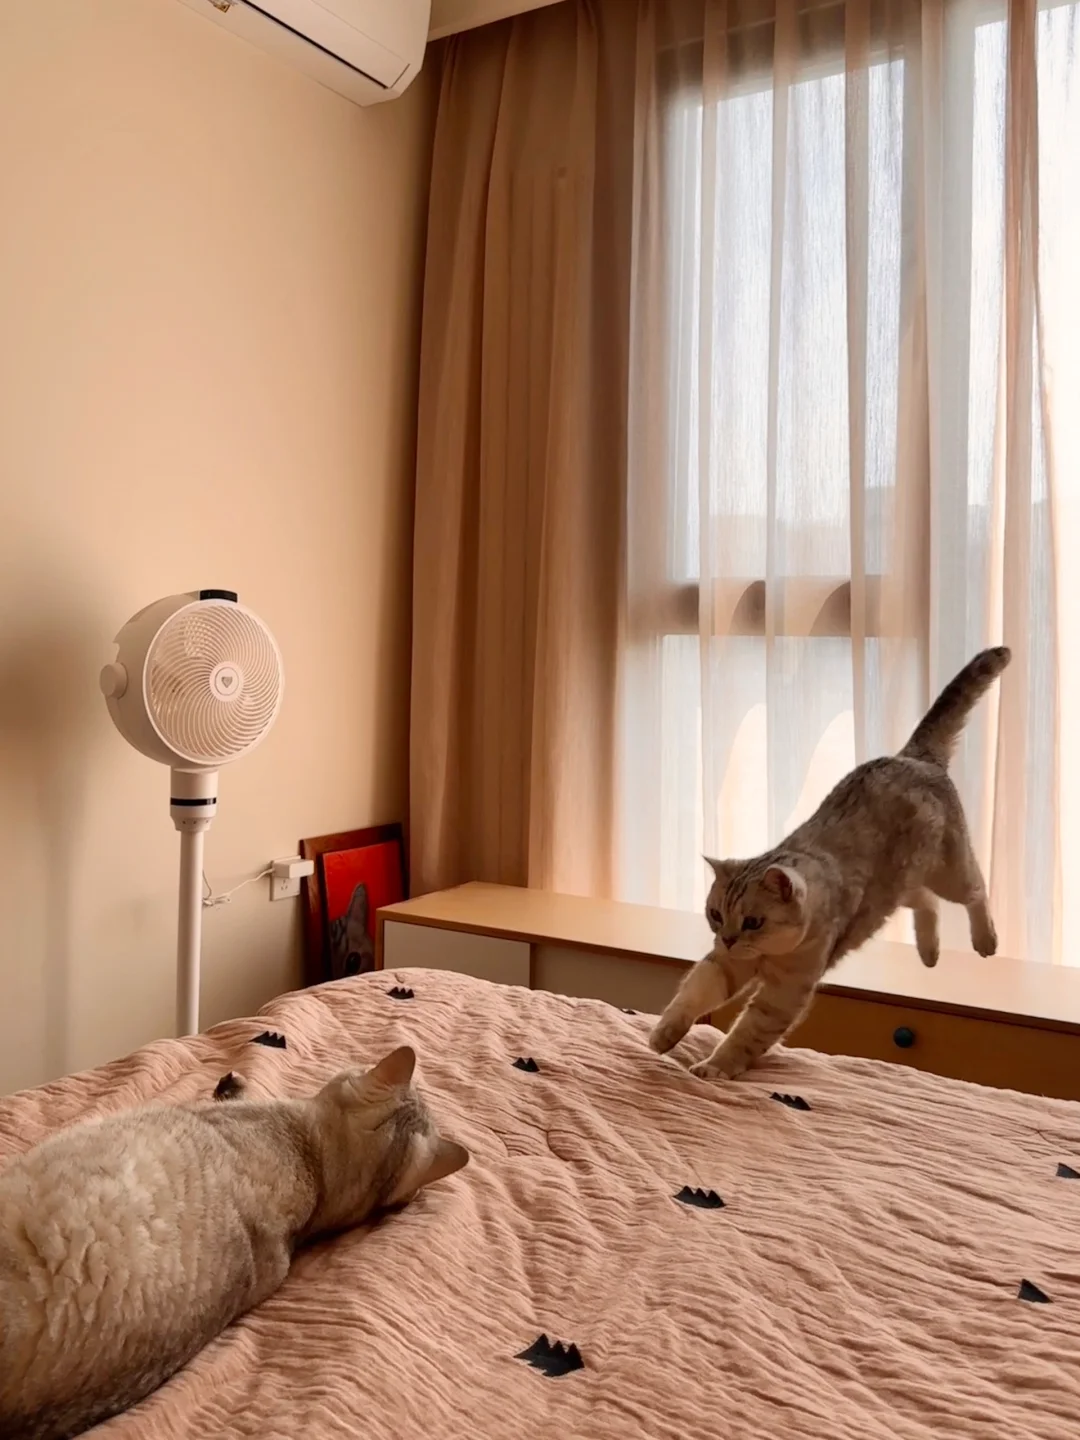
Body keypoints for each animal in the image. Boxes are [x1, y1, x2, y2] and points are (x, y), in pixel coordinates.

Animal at [650, 647, 1010, 1081]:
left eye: (753, 921)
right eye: (716, 915)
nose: (730, 938)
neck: (767, 956)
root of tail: (912, 757)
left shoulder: (783, 994)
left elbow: (746, 1034)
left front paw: (715, 1067)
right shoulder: (724, 965)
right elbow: (692, 993)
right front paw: (664, 1034)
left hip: (948, 872)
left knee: (975, 892)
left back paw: (985, 941)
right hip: (895, 889)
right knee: (926, 902)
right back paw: (930, 952)